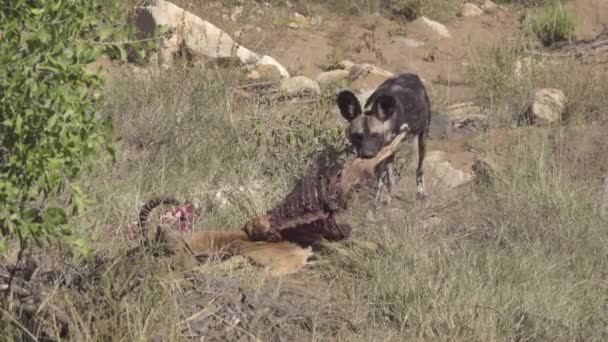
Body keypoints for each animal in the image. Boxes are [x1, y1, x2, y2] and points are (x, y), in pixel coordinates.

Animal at [338, 72, 432, 200]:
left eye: (375, 135)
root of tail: (412, 75)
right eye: (358, 136)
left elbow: (380, 179)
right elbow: (382, 177)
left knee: (419, 169)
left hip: (423, 138)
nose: (368, 155)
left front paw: (377, 200)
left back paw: (420, 192)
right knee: (390, 176)